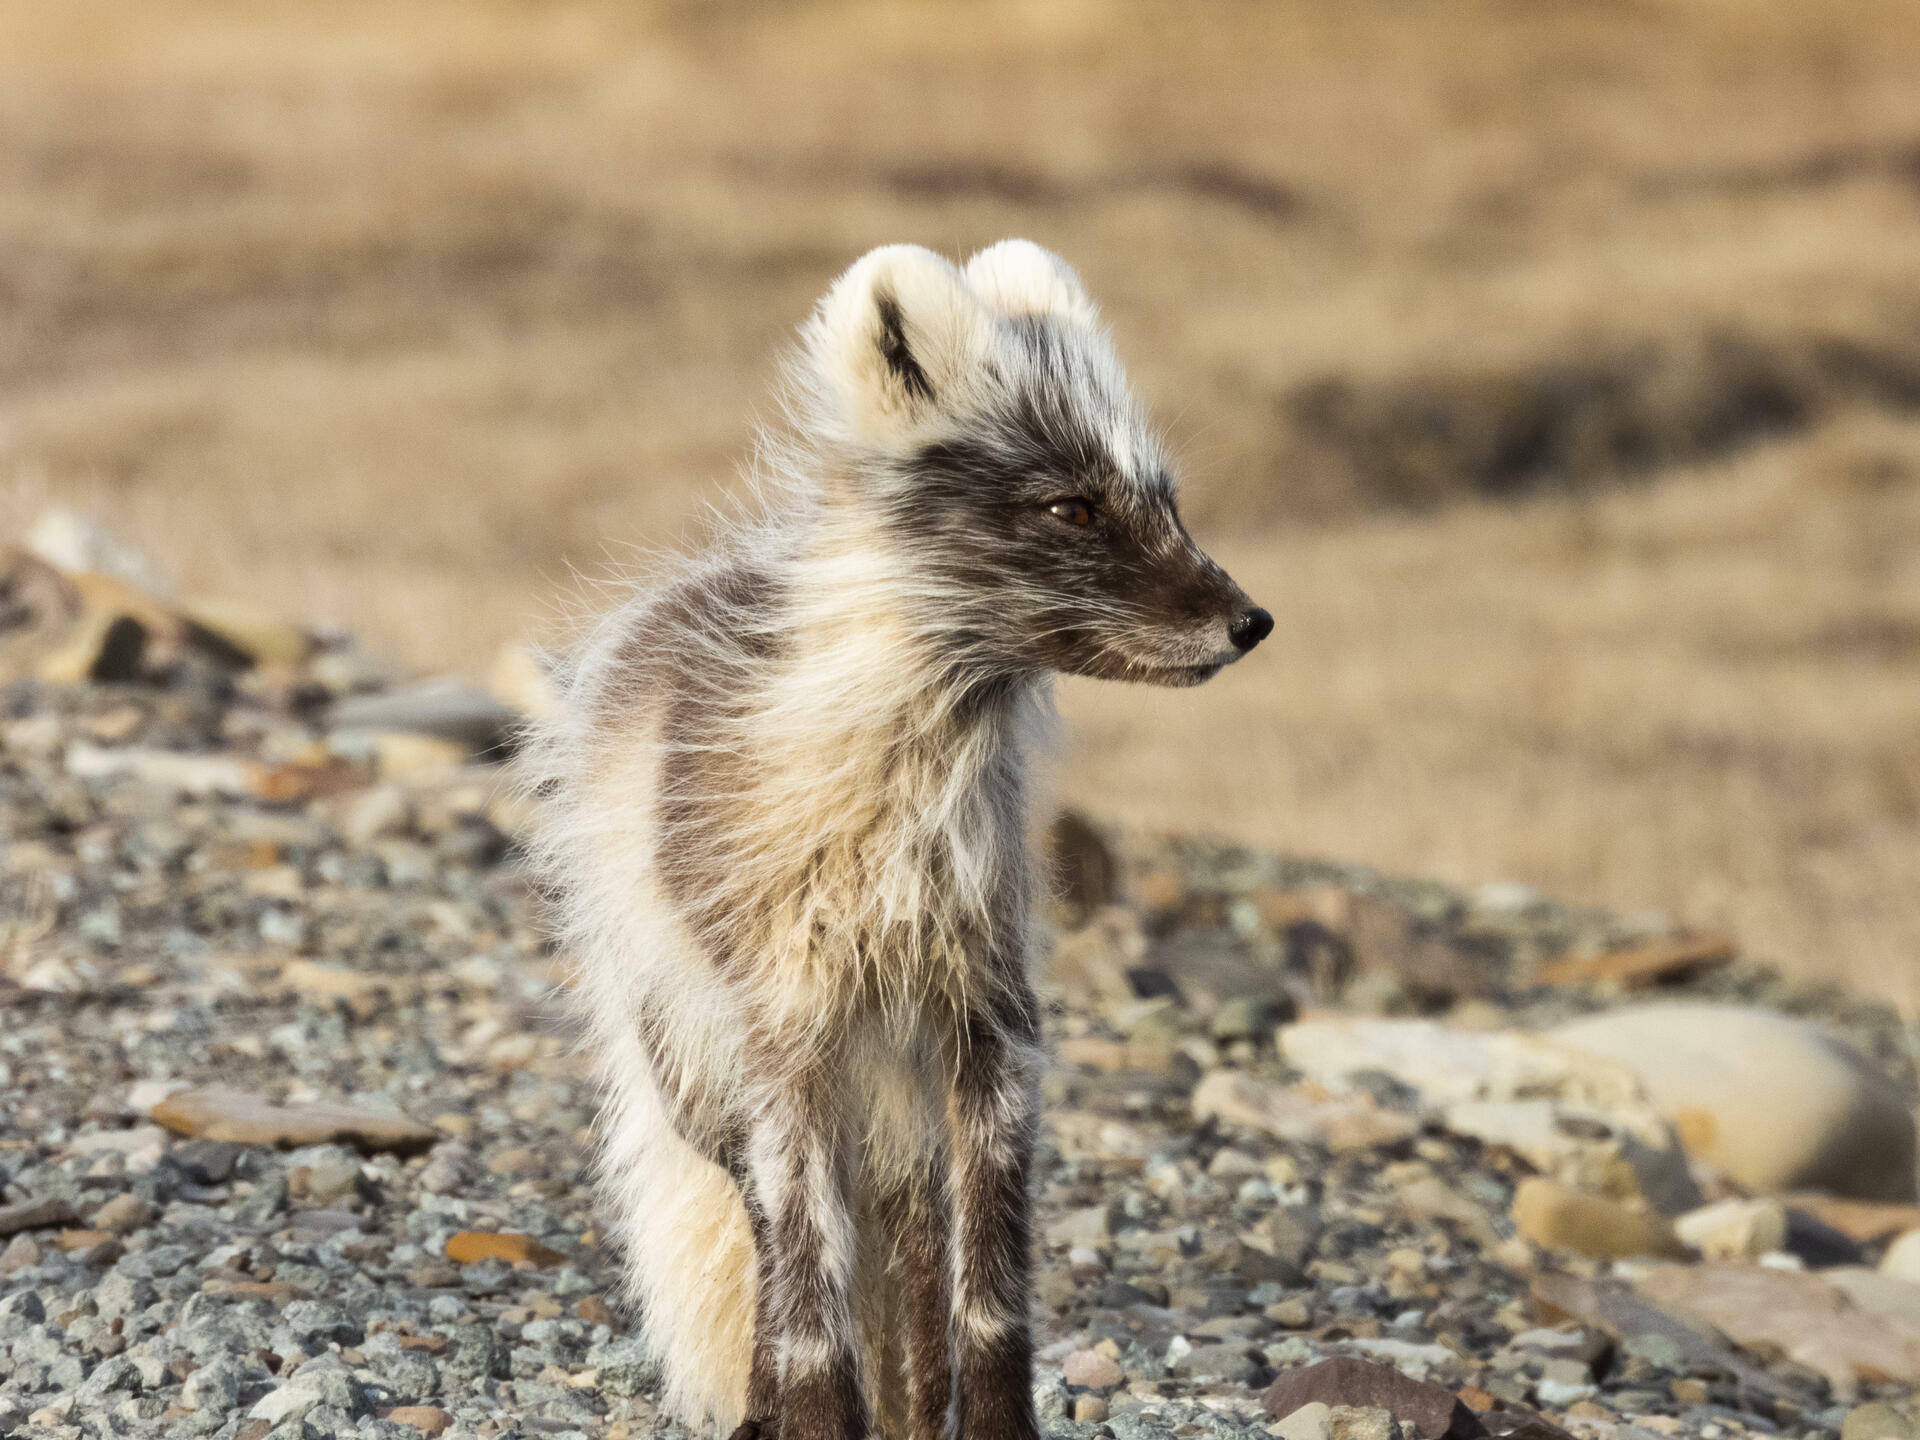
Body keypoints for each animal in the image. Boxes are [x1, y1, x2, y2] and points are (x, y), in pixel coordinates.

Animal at [528, 240, 1271, 1440]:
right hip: (712, 1074)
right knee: (777, 1247)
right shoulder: (788, 1036)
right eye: (1070, 507)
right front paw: (814, 1418)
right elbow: (808, 1310)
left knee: (916, 1256)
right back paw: (767, 1413)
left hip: (898, 1093)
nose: (1252, 622)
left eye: (1165, 501)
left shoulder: (989, 1026)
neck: (900, 824)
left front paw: (986, 1425)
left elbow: (988, 1306)